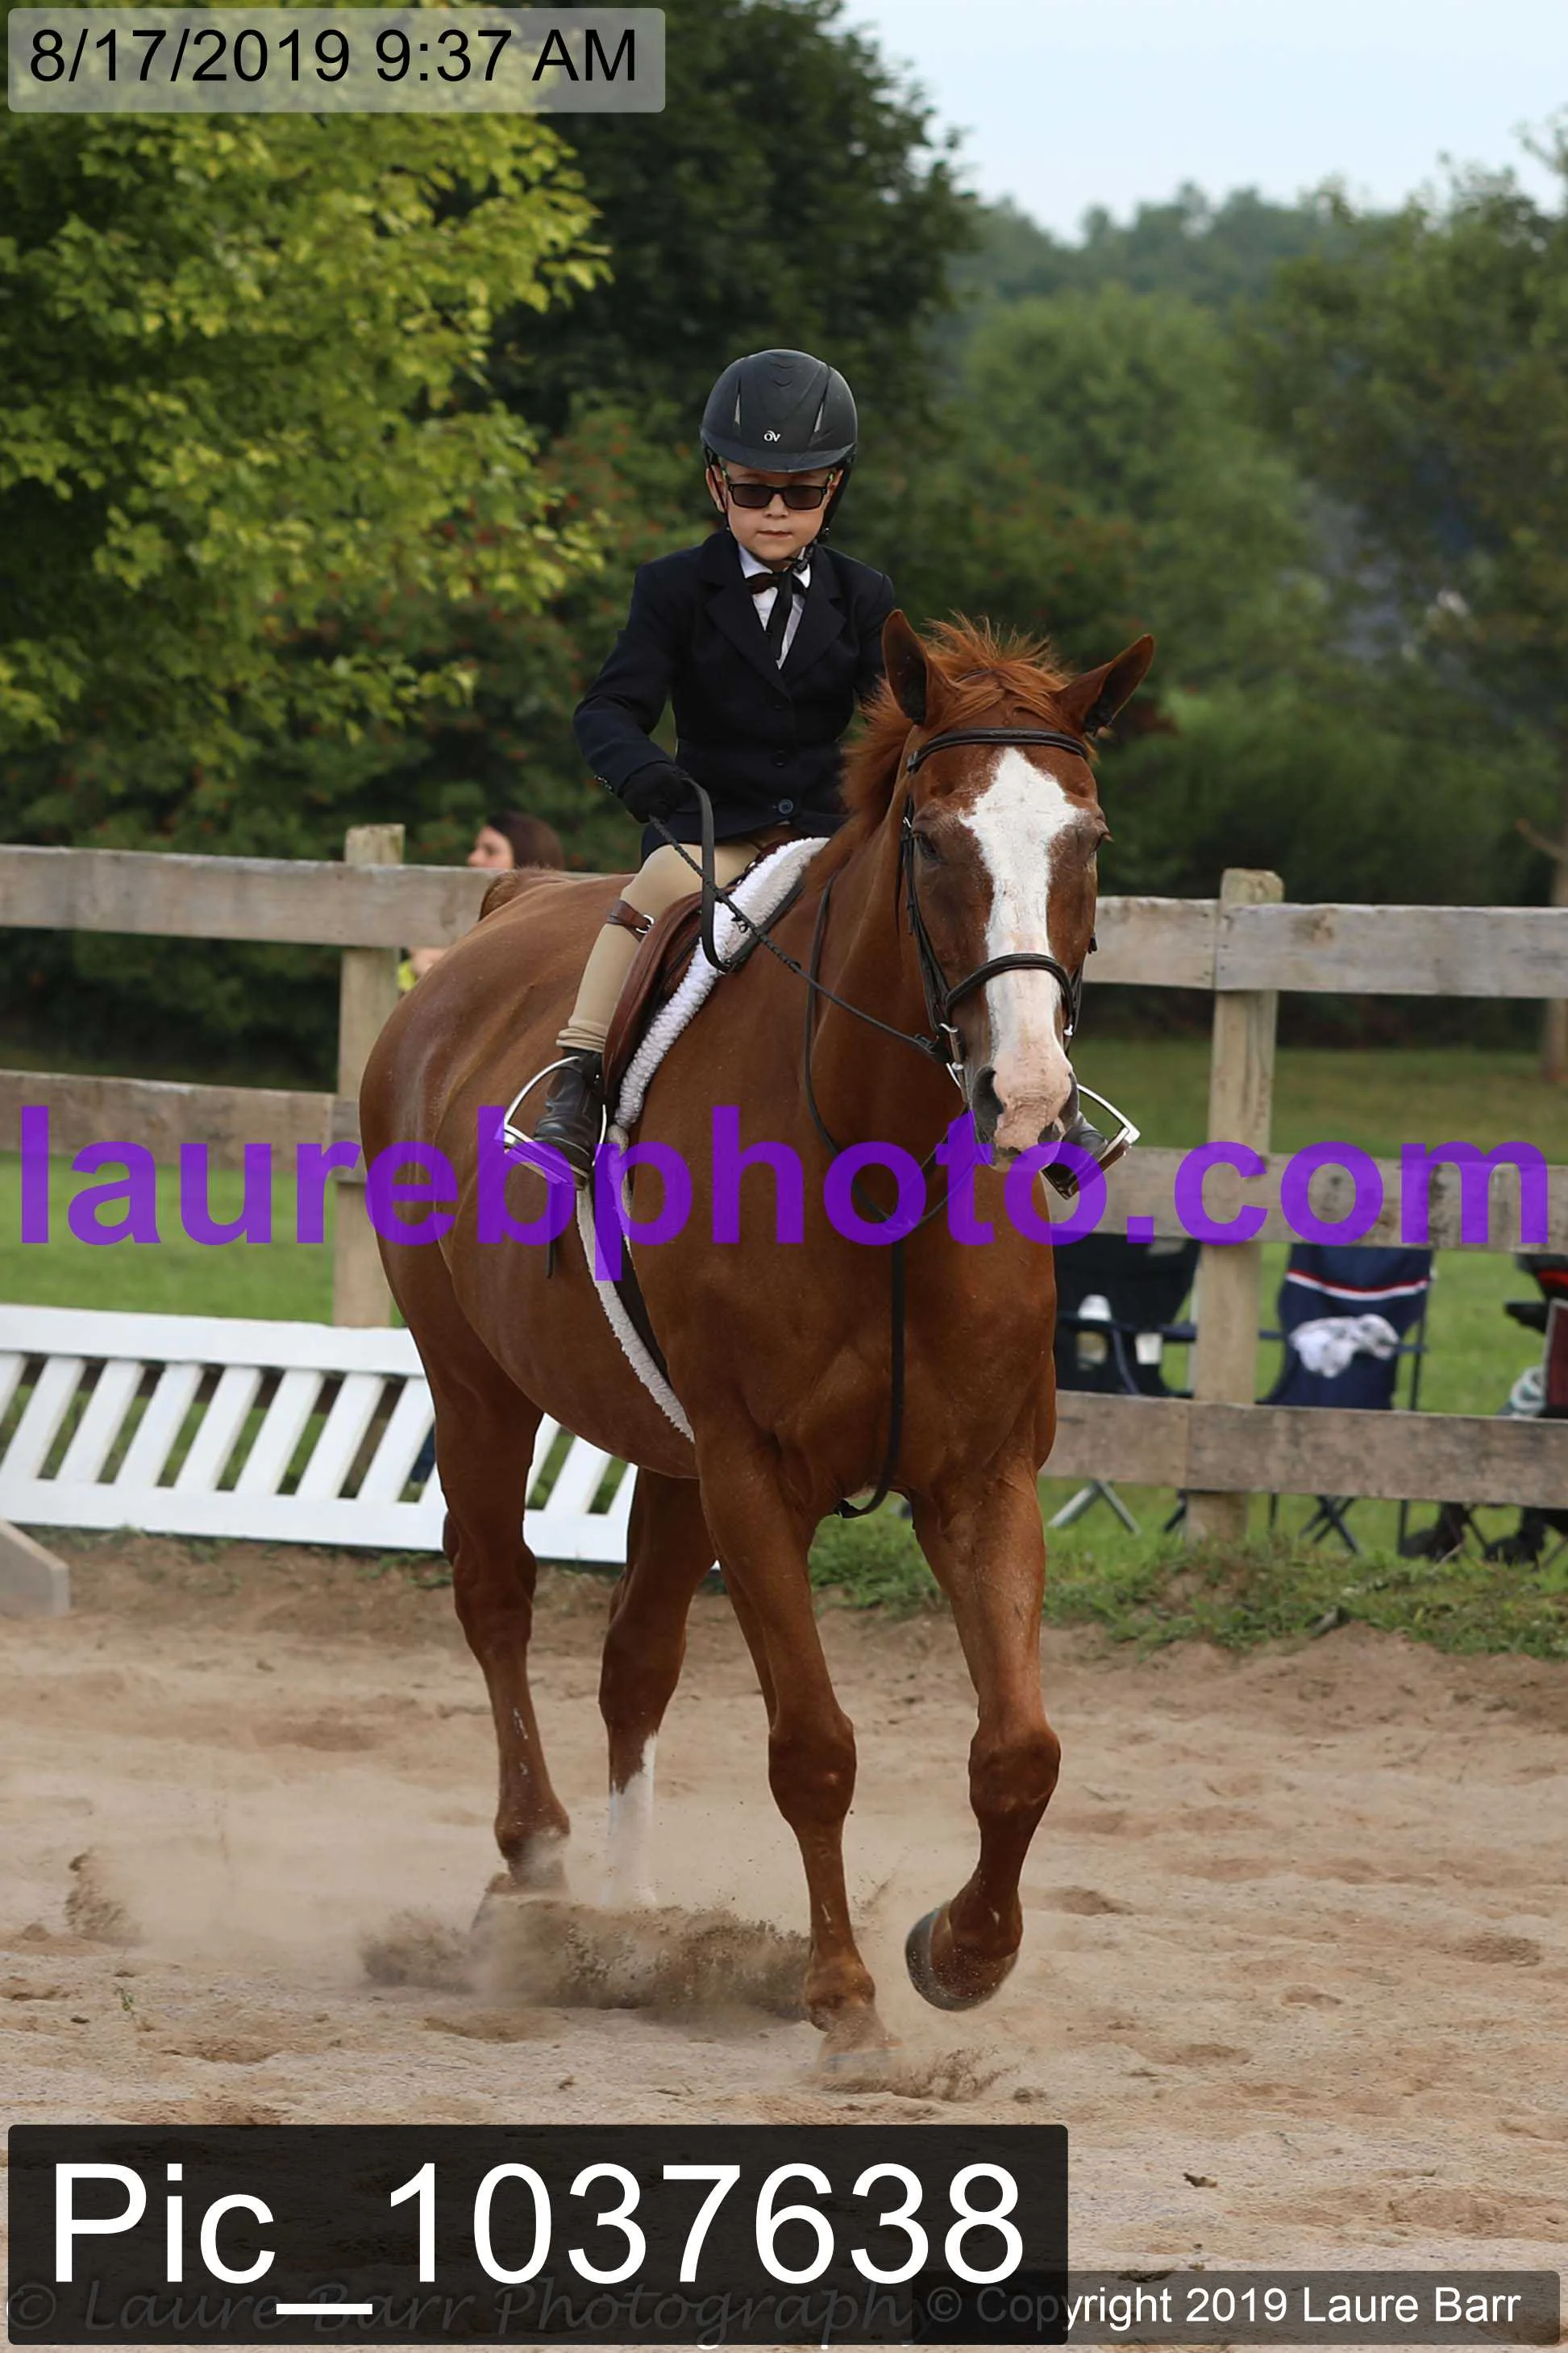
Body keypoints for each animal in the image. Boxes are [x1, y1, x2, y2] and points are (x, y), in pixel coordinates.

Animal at [361, 611, 1153, 2056]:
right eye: (931, 838)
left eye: (1087, 838)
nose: (1025, 1095)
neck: (882, 1169)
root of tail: (498, 924)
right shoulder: (752, 1478)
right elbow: (814, 1747)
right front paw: (840, 1991)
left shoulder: (982, 1481)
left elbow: (1019, 1749)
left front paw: (962, 1950)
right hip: (478, 1387)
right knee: (497, 1596)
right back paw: (537, 1868)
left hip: (667, 1455)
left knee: (636, 1660)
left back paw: (630, 1913)